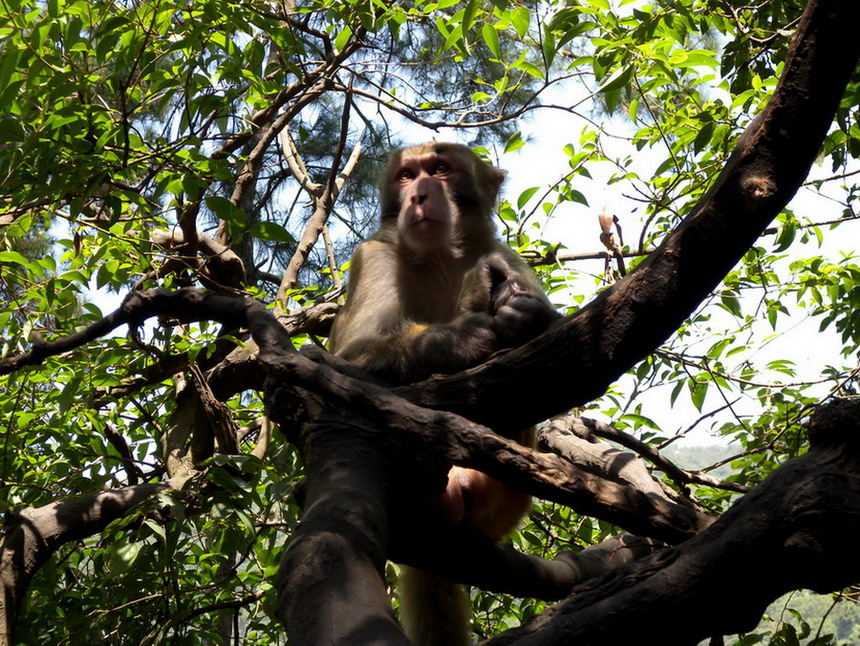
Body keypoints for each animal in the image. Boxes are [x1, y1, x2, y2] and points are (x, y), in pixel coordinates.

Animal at [330, 142, 556, 646]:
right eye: (406, 175)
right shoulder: (372, 257)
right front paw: (465, 336)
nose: (419, 193)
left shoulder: (503, 255)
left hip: (501, 507)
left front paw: (524, 315)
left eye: (440, 169)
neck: (438, 259)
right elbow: (349, 360)